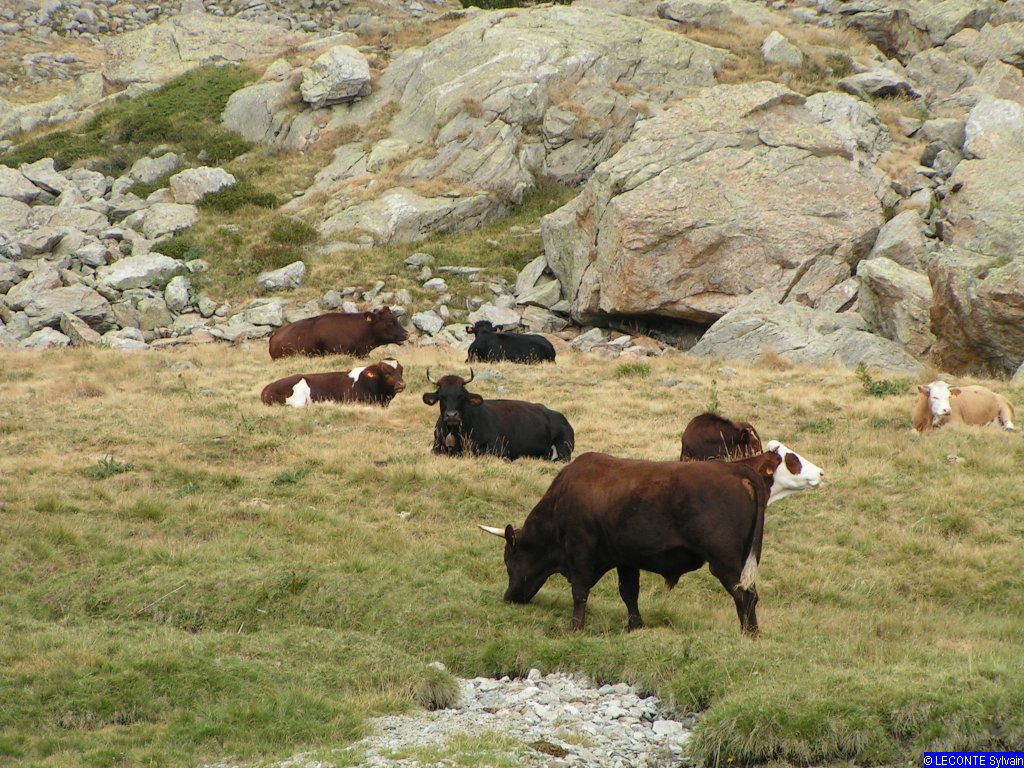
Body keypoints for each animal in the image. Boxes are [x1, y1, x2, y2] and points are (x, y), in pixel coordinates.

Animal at [422, 369, 574, 461]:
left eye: (462, 396)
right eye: (441, 396)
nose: (452, 415)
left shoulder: (499, 449)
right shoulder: (435, 448)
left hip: (563, 446)